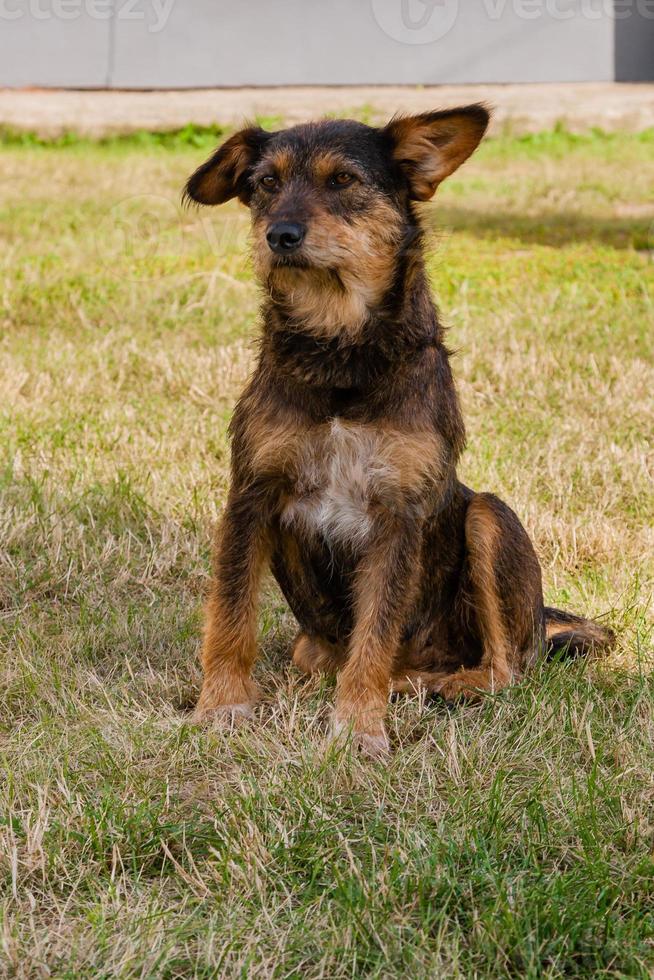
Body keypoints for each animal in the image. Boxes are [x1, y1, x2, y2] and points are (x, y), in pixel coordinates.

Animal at [183, 103, 616, 756]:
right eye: (264, 184)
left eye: (343, 180)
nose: (279, 235)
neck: (341, 353)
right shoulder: (251, 495)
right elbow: (231, 614)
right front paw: (223, 705)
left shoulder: (398, 514)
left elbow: (375, 634)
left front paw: (360, 726)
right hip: (314, 642)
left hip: (490, 516)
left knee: (507, 671)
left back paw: (435, 686)